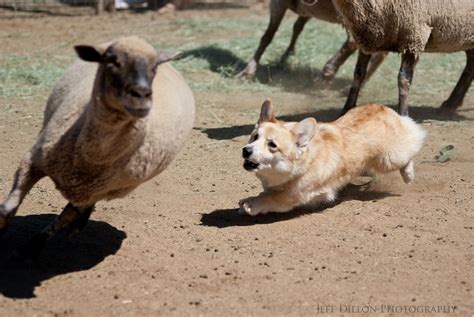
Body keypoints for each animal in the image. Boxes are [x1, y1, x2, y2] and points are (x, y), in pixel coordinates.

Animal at [0, 36, 194, 254]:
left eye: (154, 67)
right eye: (111, 60)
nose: (142, 94)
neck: (90, 155)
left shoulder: (91, 192)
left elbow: (64, 218)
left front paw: (34, 245)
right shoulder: (32, 161)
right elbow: (7, 209)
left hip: (104, 190)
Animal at [239, 100, 428, 216]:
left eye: (272, 145)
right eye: (254, 137)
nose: (246, 151)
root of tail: (383, 107)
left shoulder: (295, 195)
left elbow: (272, 197)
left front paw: (251, 204)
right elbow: (267, 192)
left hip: (389, 159)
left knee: (412, 144)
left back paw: (408, 174)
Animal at [334, 0, 474, 116]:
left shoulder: (414, 36)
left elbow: (403, 79)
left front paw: (403, 114)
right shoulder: (368, 37)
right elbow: (358, 73)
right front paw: (347, 109)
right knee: (470, 65)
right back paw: (451, 103)